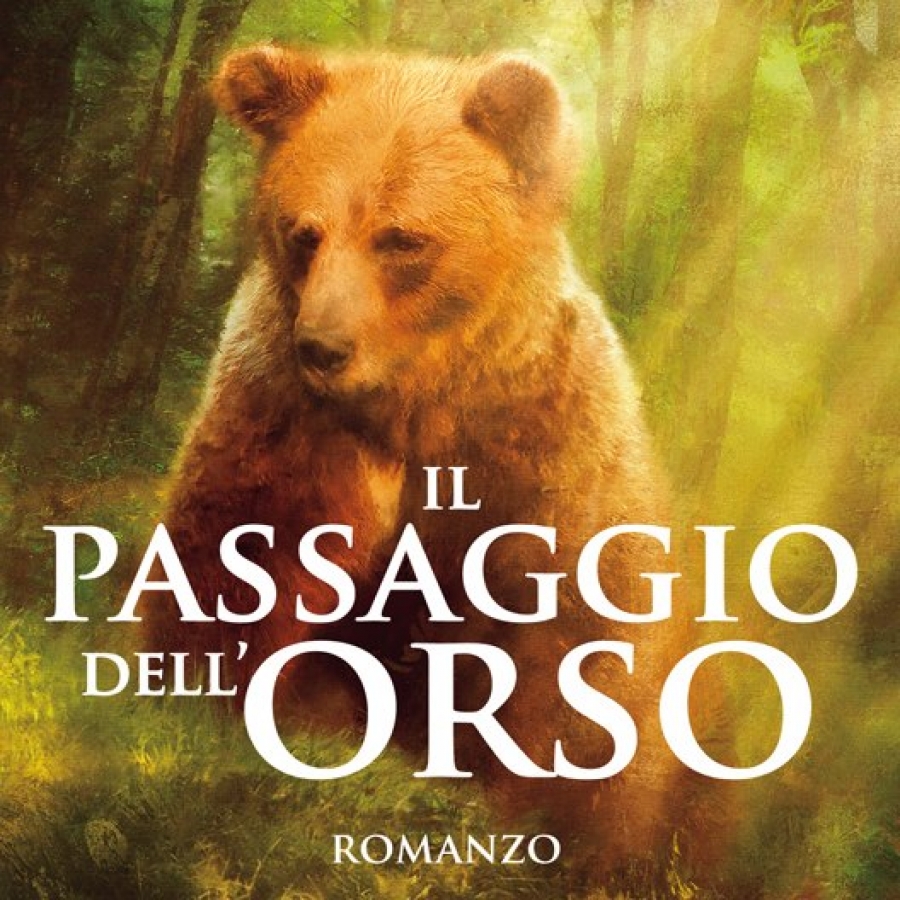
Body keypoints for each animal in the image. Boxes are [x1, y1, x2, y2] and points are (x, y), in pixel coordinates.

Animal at [149, 45, 727, 887]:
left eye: (400, 238)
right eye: (304, 232)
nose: (323, 347)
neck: (418, 401)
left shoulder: (545, 458)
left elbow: (574, 661)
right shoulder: (283, 422)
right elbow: (236, 564)